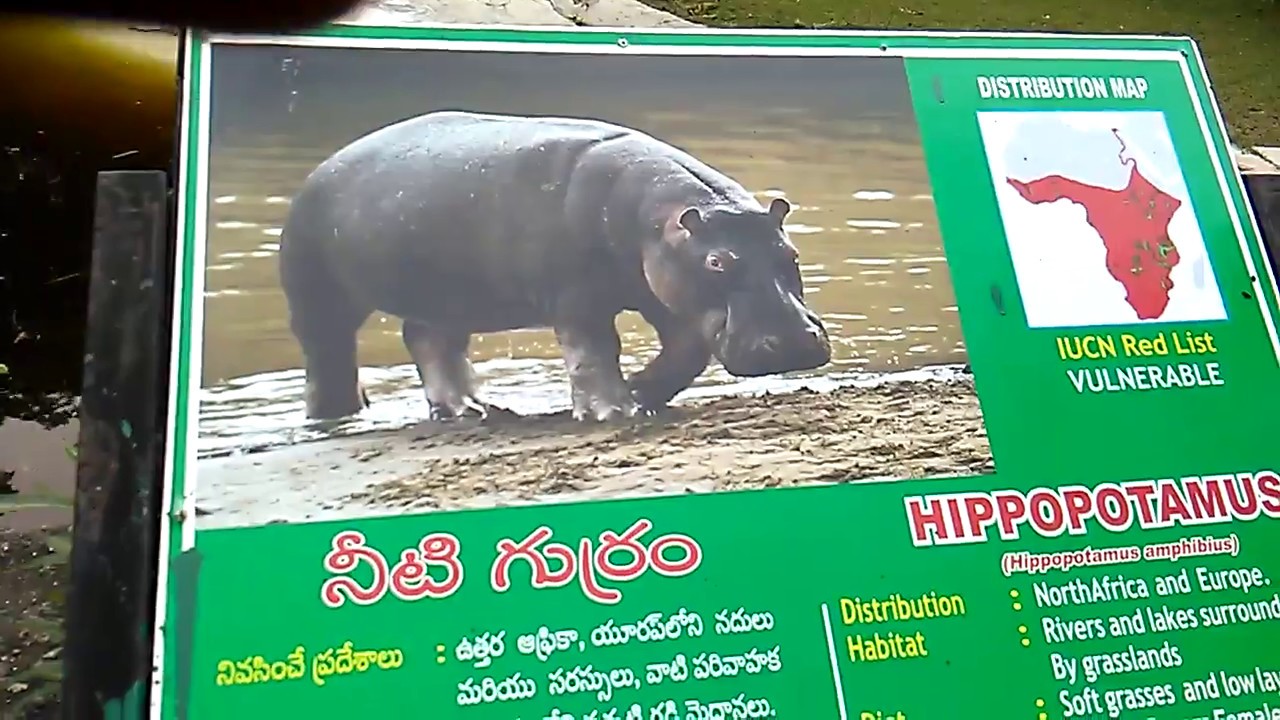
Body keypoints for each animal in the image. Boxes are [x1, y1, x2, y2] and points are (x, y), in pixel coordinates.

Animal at [278, 110, 832, 423]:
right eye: (717, 260)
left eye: (791, 252)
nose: (793, 342)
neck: (662, 221)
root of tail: (319, 171)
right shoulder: (577, 298)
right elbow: (594, 350)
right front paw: (615, 411)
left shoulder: (665, 294)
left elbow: (686, 354)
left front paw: (642, 394)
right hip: (321, 295)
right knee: (328, 353)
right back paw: (338, 416)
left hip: (449, 297)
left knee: (429, 341)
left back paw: (472, 411)